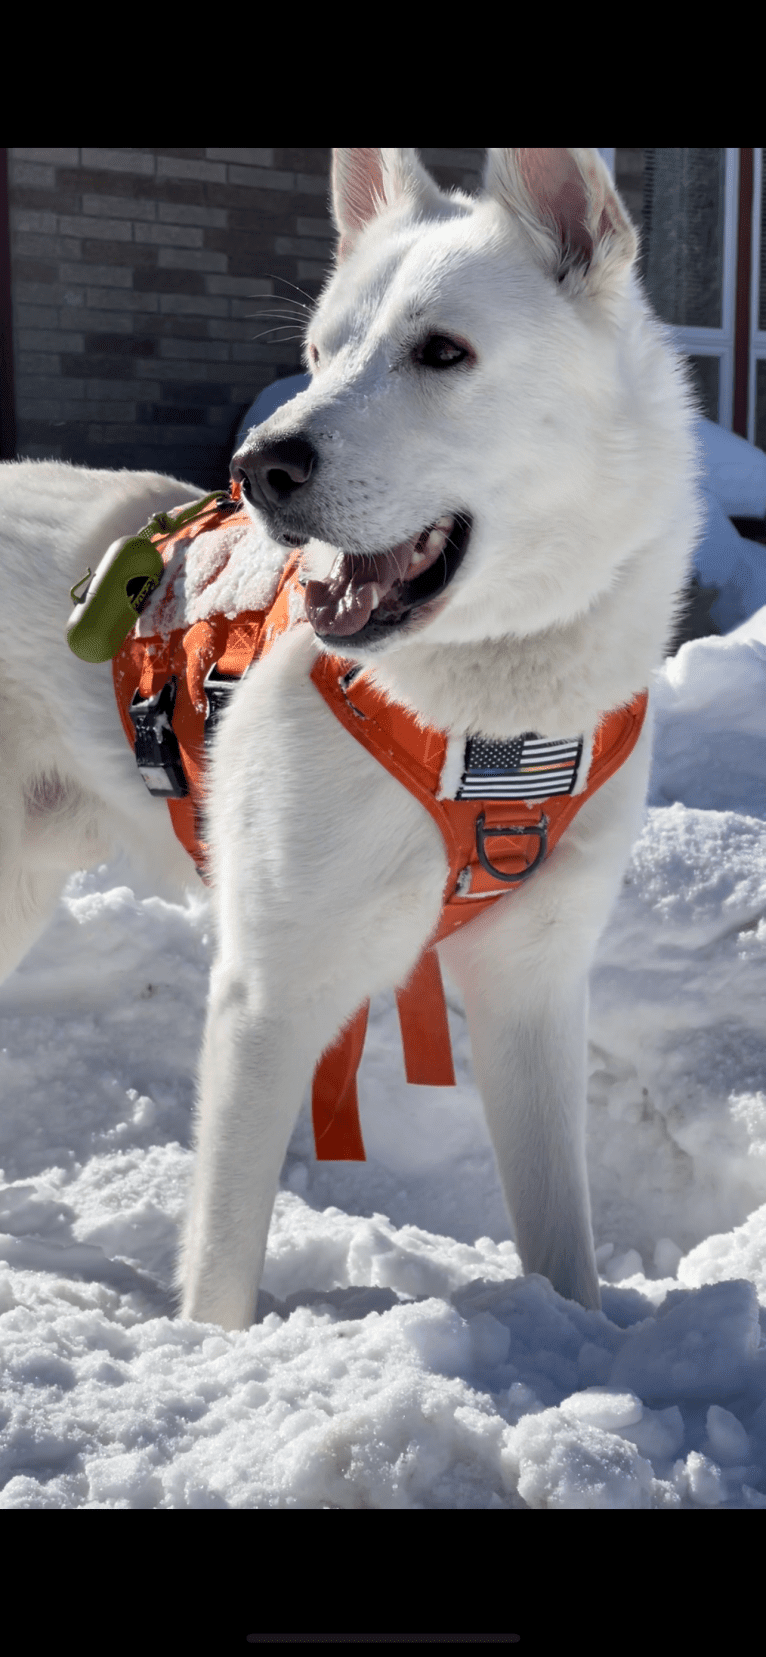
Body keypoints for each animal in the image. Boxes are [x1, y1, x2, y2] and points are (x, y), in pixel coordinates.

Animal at [0, 149, 699, 1325]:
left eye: (441, 351)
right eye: (320, 355)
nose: (259, 466)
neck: (485, 725)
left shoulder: (532, 987)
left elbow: (562, 1238)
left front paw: (579, 1332)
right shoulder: (269, 994)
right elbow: (222, 1267)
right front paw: (218, 1353)